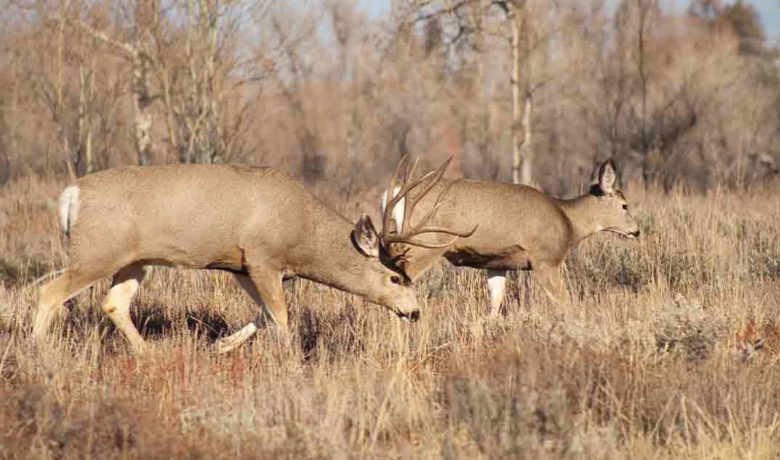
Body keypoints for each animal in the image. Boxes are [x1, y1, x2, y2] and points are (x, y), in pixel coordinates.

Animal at [31, 160, 473, 354]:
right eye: (396, 278)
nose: (414, 312)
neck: (302, 231)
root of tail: (71, 195)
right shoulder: (263, 258)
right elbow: (281, 317)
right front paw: (293, 361)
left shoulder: (242, 266)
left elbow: (264, 314)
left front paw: (222, 345)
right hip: (96, 253)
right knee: (49, 293)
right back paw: (38, 353)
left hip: (133, 261)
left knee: (113, 303)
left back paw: (149, 354)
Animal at [380, 158, 640, 315]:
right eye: (625, 205)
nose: (636, 230)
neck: (568, 220)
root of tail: (393, 193)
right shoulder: (545, 260)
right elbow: (565, 302)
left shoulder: (497, 263)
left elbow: (495, 305)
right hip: (426, 245)